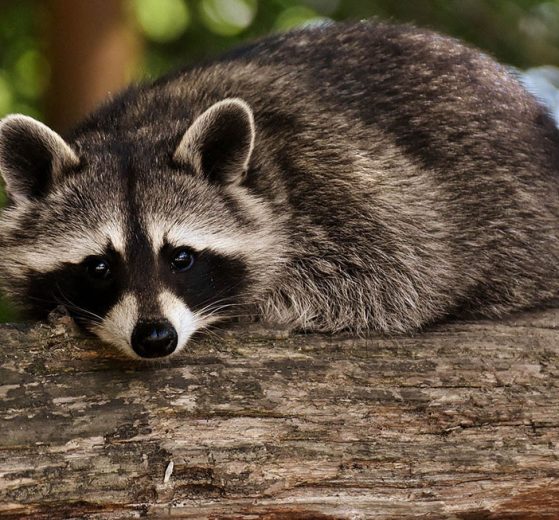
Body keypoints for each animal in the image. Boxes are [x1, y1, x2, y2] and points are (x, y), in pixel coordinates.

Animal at [1, 22, 559, 360]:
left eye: (180, 257)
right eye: (98, 266)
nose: (155, 338)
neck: (143, 126)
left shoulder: (348, 181)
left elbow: (405, 275)